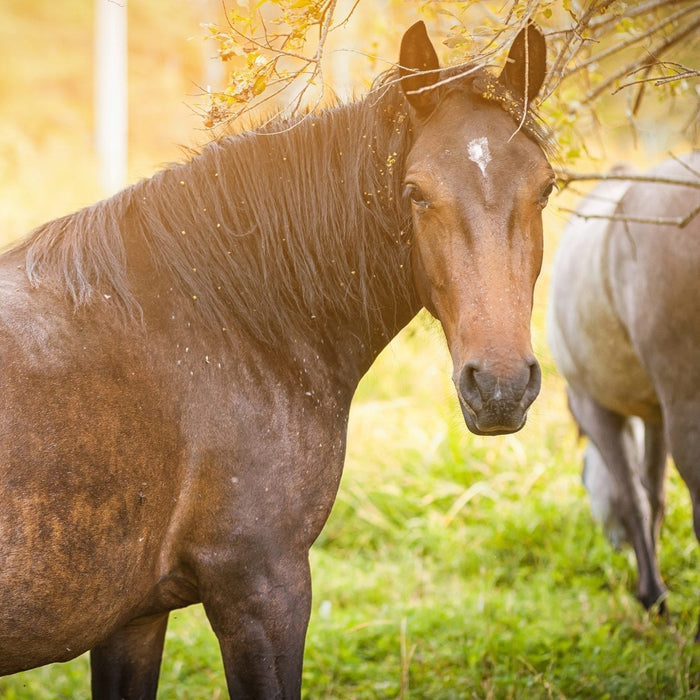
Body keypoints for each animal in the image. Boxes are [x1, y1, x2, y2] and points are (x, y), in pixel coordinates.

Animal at [0, 21, 554, 698]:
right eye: (416, 194)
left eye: (546, 187)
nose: (500, 387)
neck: (217, 320)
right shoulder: (263, 591)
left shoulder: (133, 619)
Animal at [547, 152, 700, 627]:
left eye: (582, 478)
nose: (614, 544)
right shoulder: (655, 413)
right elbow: (653, 494)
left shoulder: (594, 407)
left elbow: (633, 498)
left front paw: (653, 597)